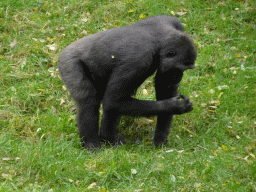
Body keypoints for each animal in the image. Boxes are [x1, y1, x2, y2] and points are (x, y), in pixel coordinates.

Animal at [58, 15, 197, 150]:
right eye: (178, 69)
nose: (179, 77)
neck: (159, 41)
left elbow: (164, 89)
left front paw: (160, 139)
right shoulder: (138, 60)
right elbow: (114, 101)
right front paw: (175, 106)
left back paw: (109, 138)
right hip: (68, 63)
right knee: (89, 100)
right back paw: (92, 144)